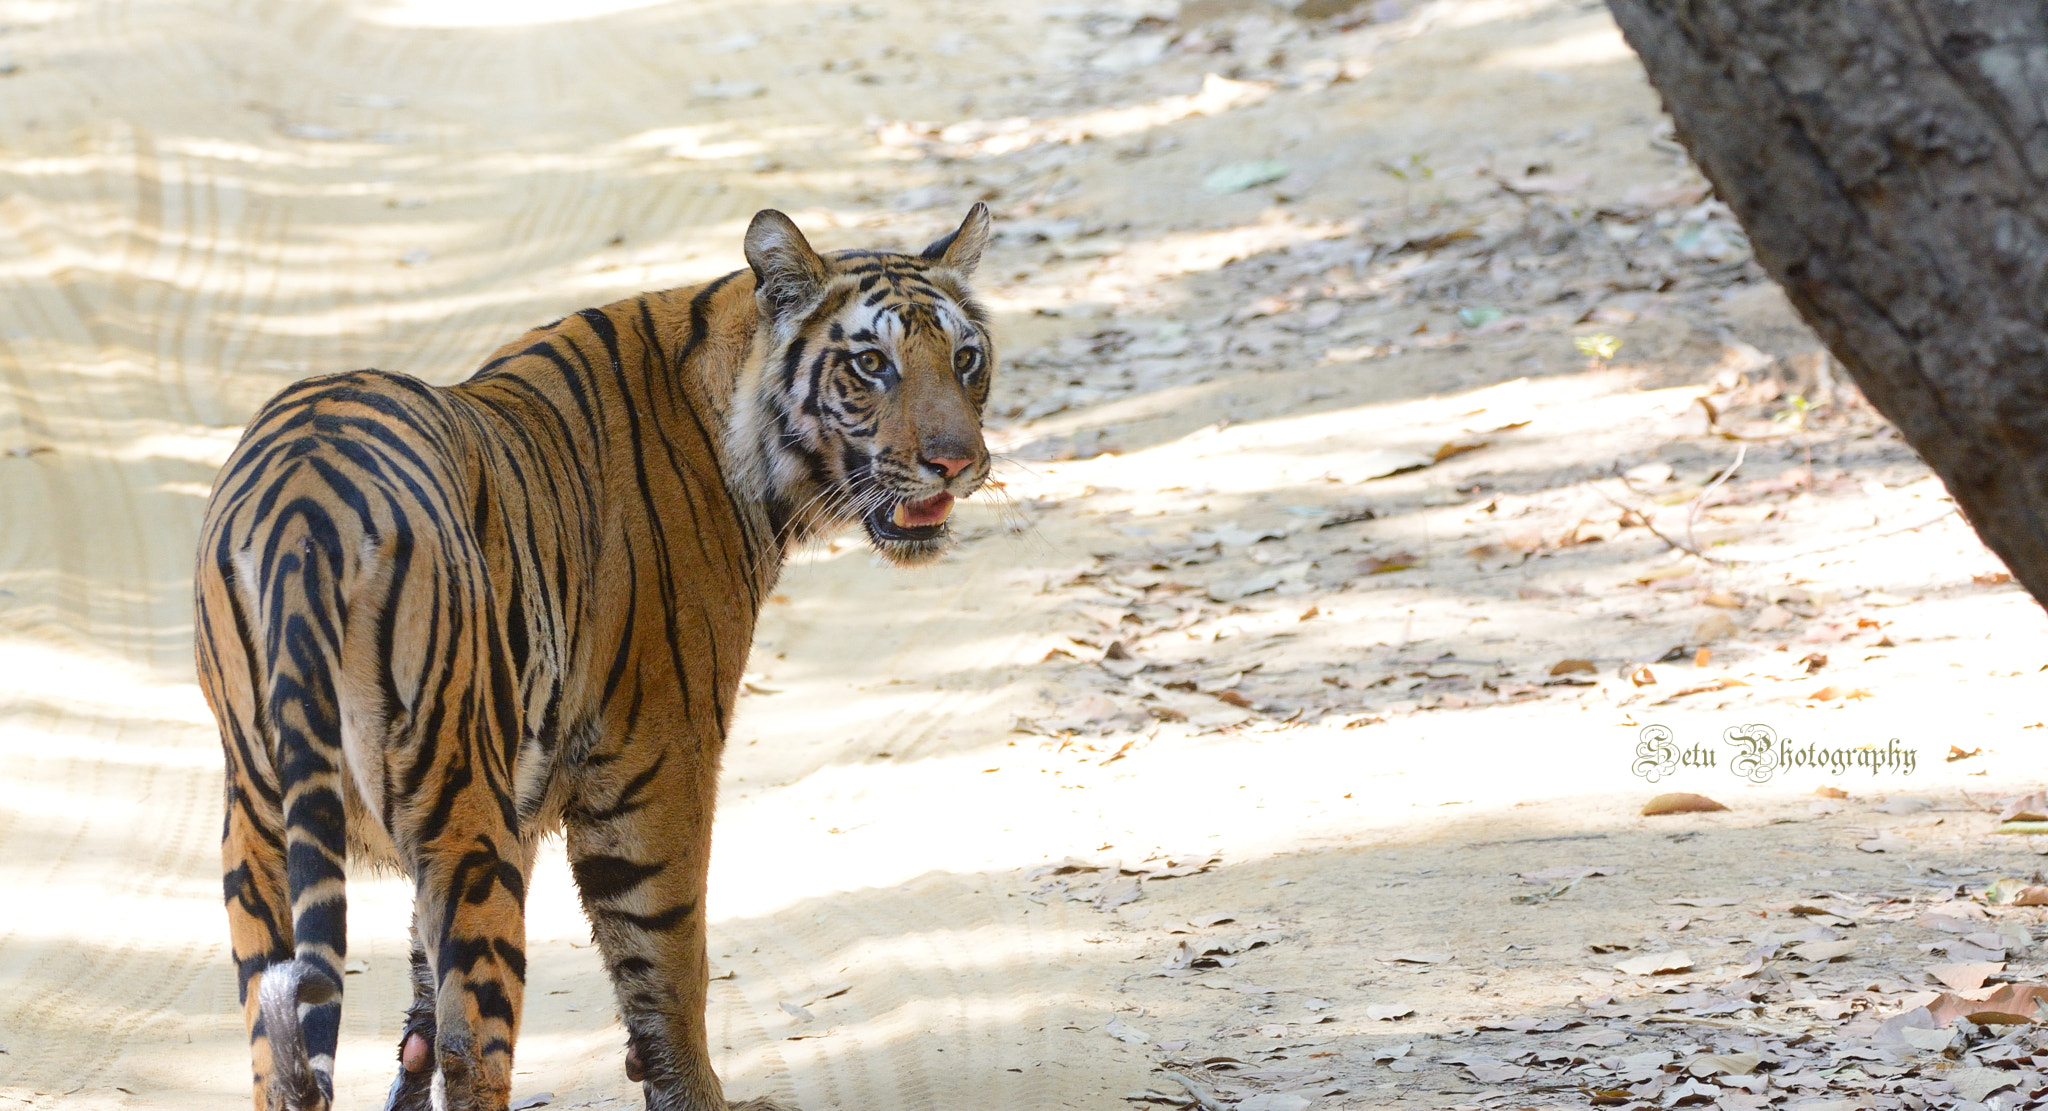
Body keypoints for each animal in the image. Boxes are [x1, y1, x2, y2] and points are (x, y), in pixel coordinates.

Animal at [193, 204, 999, 1106]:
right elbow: (669, 963)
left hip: (259, 825)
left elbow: (421, 978)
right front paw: (698, 1094)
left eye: (966, 358)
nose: (959, 463)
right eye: (871, 364)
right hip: (462, 811)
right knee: (476, 1044)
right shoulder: (654, 768)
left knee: (281, 1046)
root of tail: (305, 513)